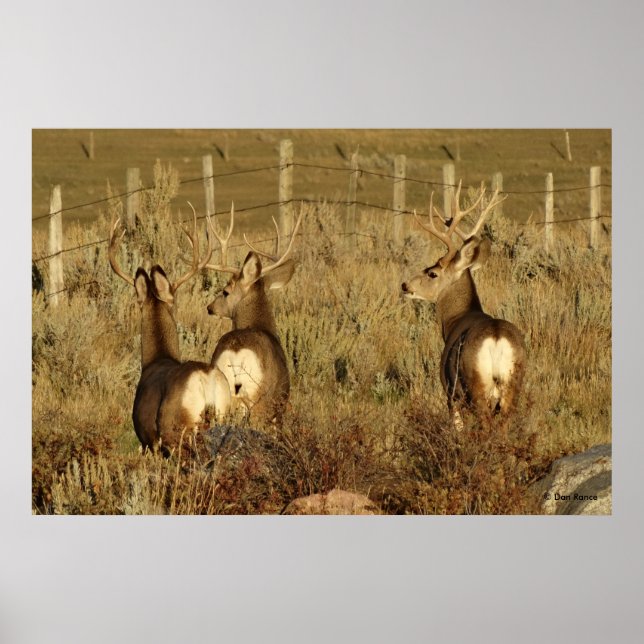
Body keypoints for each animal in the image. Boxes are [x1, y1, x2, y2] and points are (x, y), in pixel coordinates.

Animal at [401, 182, 526, 432]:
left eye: (432, 273)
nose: (405, 285)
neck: (456, 319)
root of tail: (497, 338)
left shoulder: (449, 391)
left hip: (475, 384)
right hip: (513, 384)